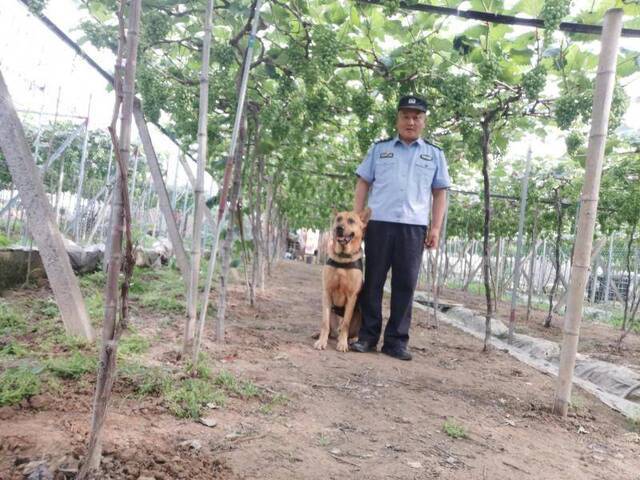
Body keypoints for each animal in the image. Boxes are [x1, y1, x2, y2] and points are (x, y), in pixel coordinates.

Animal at [314, 208, 372, 350]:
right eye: (338, 219)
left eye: (351, 221)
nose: (339, 228)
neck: (343, 258)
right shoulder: (327, 292)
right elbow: (324, 323)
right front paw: (321, 341)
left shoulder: (352, 297)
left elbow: (346, 323)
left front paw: (342, 343)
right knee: (330, 328)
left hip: (359, 314)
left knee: (350, 330)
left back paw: (352, 339)